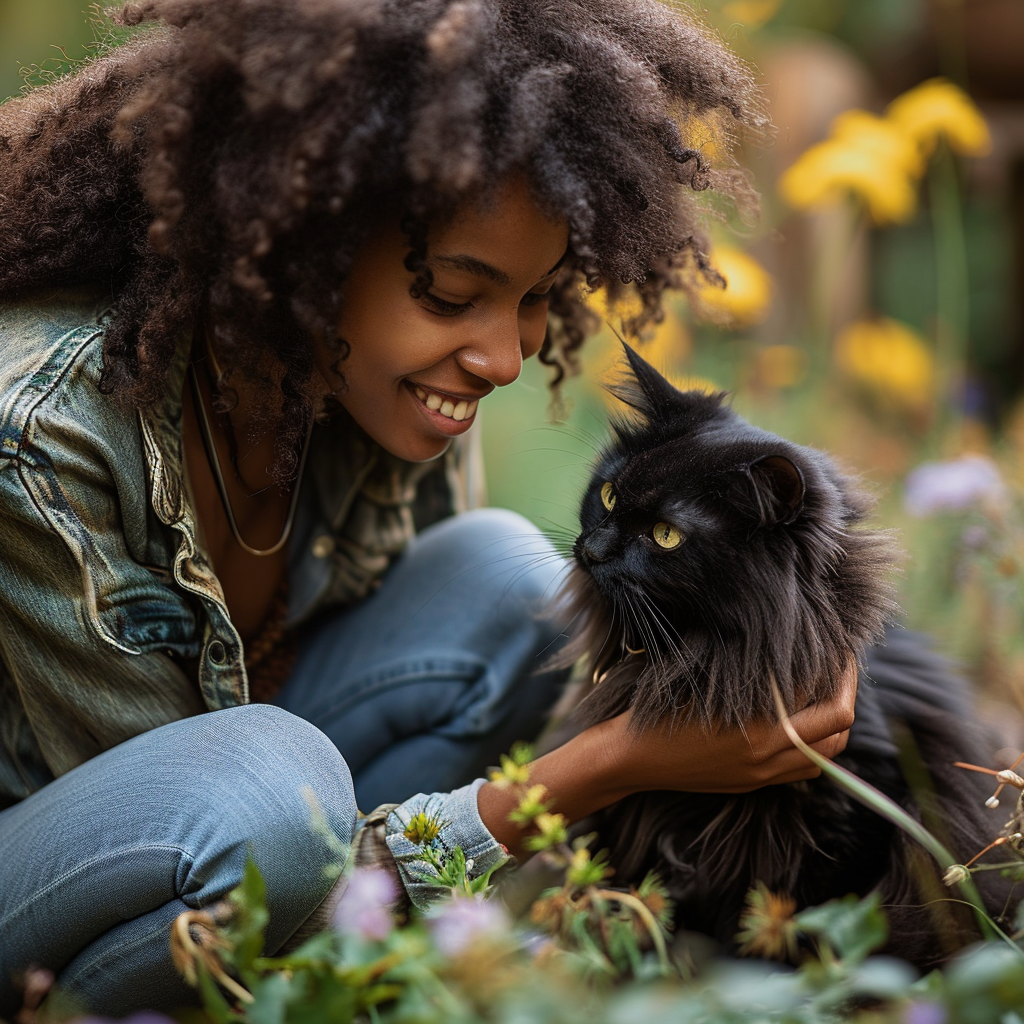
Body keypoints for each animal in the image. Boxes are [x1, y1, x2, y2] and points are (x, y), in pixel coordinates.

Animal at [565, 344, 1011, 966]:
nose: (591, 550)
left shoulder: (859, 818)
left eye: (665, 535)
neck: (697, 657)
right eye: (606, 496)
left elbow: (807, 921)